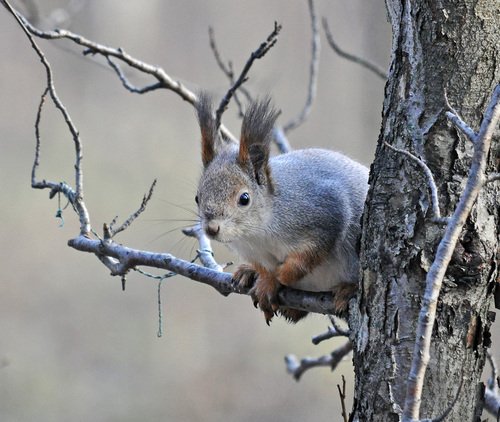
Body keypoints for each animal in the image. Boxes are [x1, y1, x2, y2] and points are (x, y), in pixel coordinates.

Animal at [195, 94, 372, 324]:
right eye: (197, 197)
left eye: (244, 198)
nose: (211, 228)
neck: (257, 233)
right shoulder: (252, 252)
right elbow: (265, 269)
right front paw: (267, 282)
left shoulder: (326, 210)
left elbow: (310, 254)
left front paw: (283, 274)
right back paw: (249, 274)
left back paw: (347, 290)